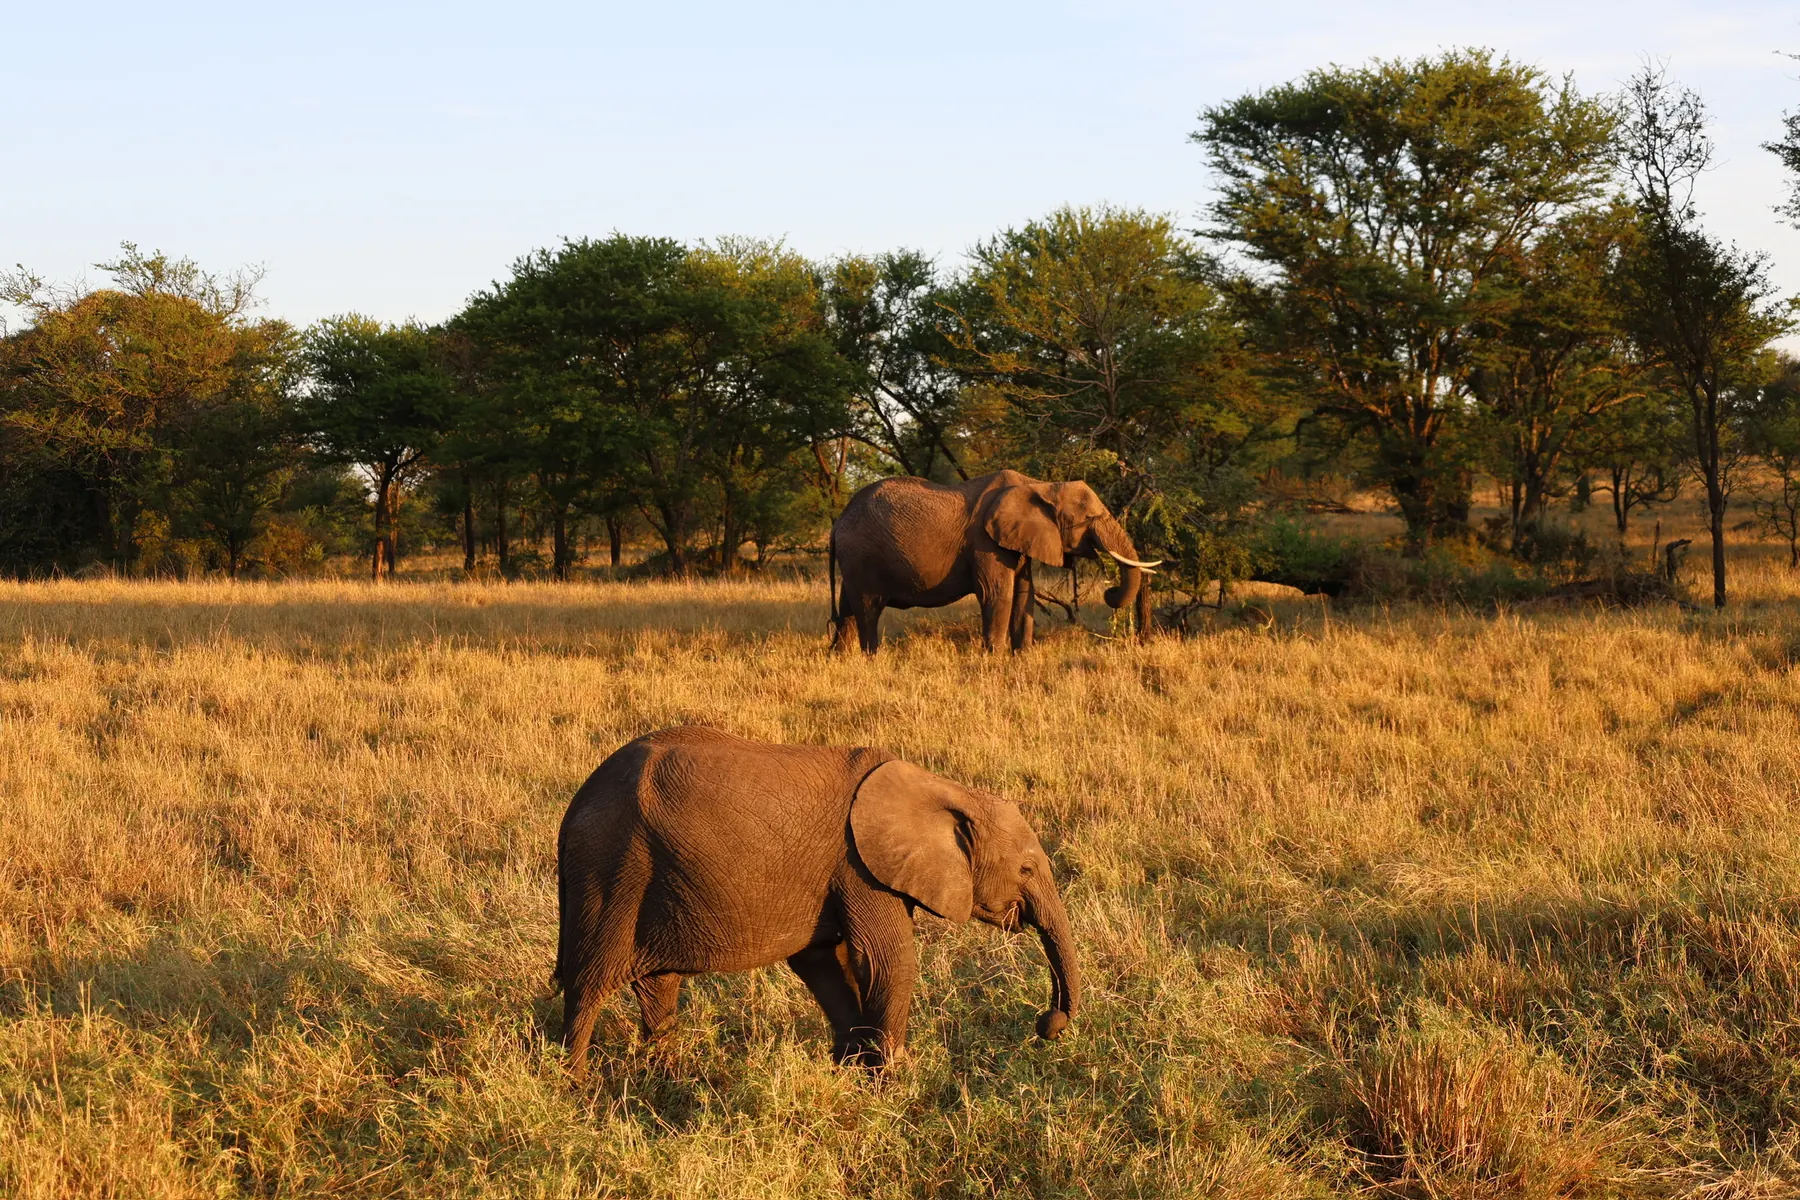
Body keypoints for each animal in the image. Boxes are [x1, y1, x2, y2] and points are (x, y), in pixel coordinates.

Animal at [554, 726, 1080, 1076]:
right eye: (1026, 870)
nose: (1047, 1024)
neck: (945, 789)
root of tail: (577, 802)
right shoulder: (857, 865)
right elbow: (888, 960)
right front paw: (889, 1083)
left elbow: (827, 962)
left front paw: (851, 1070)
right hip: (609, 869)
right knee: (589, 985)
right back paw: (576, 1087)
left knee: (658, 987)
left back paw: (667, 1075)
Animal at [828, 469, 1160, 653]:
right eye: (1089, 519)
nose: (1109, 591)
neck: (1040, 485)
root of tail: (837, 522)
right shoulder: (984, 541)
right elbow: (997, 593)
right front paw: (994, 659)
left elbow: (1024, 594)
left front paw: (1022, 657)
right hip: (862, 556)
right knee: (868, 609)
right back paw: (872, 657)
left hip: (854, 561)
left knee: (848, 610)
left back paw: (839, 657)